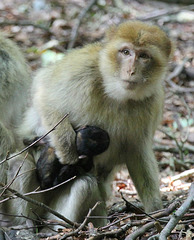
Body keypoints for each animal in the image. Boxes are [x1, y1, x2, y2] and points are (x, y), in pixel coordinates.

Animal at [3, 21, 173, 229]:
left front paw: (156, 211)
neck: (116, 93)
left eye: (143, 56)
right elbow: (45, 95)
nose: (131, 71)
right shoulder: (82, 69)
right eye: (126, 52)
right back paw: (23, 224)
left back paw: (59, 226)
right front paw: (68, 153)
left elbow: (137, 152)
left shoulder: (153, 102)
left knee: (85, 185)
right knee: (20, 163)